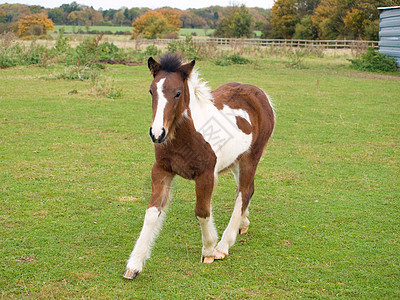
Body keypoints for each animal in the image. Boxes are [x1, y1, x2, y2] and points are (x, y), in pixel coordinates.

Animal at [124, 53, 276, 278]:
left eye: (178, 93)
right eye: (151, 90)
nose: (157, 133)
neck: (186, 136)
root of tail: (260, 94)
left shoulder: (206, 175)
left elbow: (202, 211)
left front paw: (209, 250)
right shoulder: (161, 170)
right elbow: (152, 212)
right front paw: (134, 264)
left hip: (251, 157)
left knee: (244, 192)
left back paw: (224, 245)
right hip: (236, 160)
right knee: (246, 190)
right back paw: (243, 223)